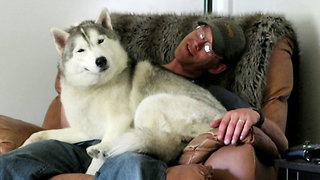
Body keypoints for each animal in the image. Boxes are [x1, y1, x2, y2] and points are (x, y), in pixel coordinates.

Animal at [21, 9, 228, 174]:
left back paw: (104, 150)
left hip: (150, 104)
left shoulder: (118, 122)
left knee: (160, 147)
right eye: (80, 50)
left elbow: (93, 167)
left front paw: (91, 170)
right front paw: (22, 146)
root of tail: (222, 116)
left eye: (100, 41)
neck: (94, 88)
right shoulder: (86, 131)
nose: (101, 60)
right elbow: (38, 135)